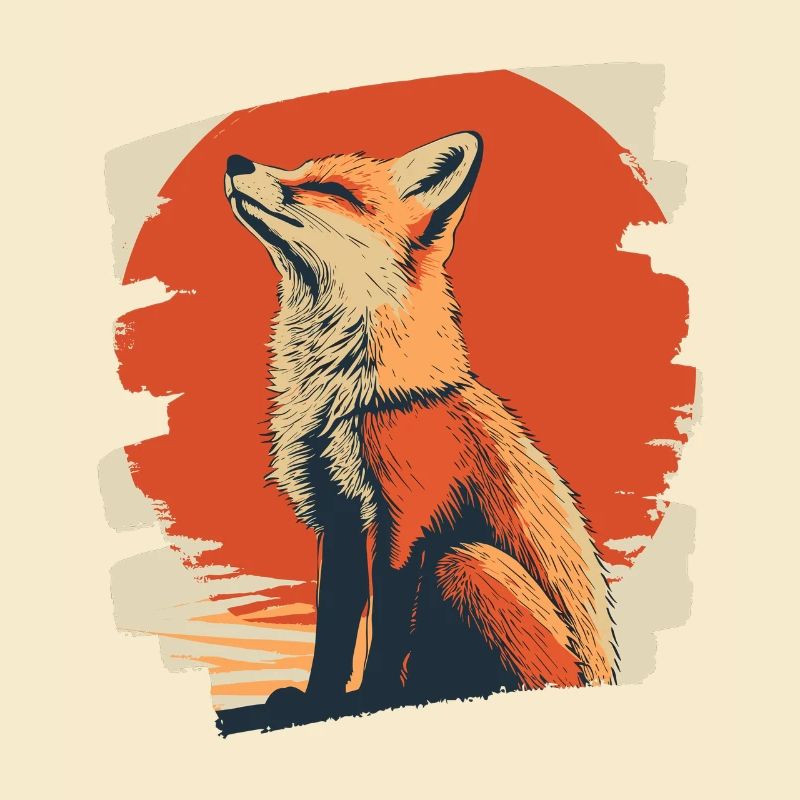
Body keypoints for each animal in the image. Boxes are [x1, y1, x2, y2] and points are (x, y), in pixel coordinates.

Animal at [221, 131, 617, 731]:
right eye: (299, 169)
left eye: (329, 189)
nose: (235, 160)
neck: (349, 400)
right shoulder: (338, 517)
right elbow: (333, 631)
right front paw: (318, 702)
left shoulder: (407, 521)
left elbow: (386, 633)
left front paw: (372, 699)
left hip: (465, 562)